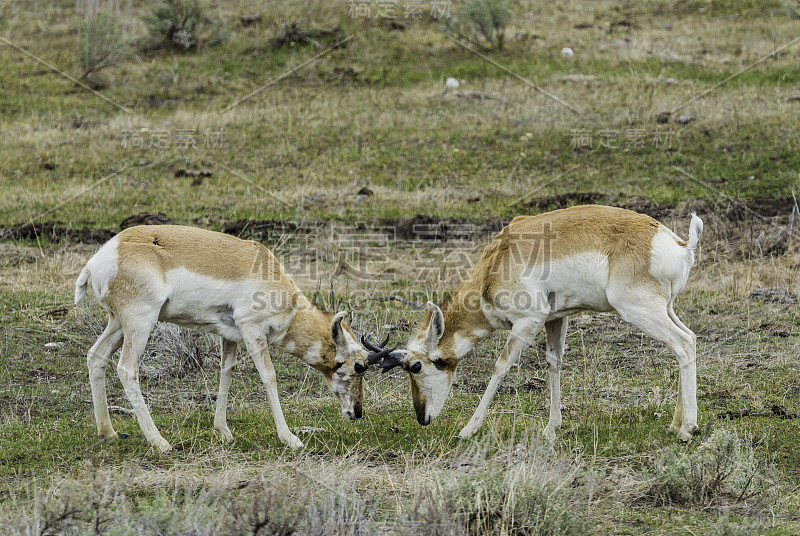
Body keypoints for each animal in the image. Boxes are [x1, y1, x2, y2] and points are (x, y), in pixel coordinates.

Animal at [73, 225, 392, 452]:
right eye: (358, 366)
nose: (357, 412)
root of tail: (104, 256)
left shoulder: (230, 337)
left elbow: (226, 372)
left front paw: (224, 432)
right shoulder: (252, 332)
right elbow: (269, 376)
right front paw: (290, 439)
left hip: (118, 324)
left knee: (95, 356)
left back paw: (108, 432)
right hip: (140, 324)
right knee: (126, 369)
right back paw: (160, 443)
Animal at [372, 203, 704, 442]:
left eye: (416, 366)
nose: (422, 417)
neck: (497, 262)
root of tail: (678, 243)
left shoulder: (527, 323)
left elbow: (501, 367)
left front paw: (468, 430)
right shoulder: (556, 320)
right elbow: (554, 363)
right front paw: (551, 428)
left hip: (639, 310)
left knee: (683, 343)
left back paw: (687, 430)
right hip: (666, 309)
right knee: (689, 339)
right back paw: (676, 424)